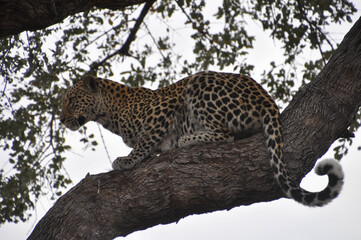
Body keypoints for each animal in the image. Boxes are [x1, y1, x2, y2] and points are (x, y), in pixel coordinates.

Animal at [59, 71, 344, 206]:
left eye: (71, 100)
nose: (61, 120)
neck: (109, 114)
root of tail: (267, 98)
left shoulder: (163, 109)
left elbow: (145, 141)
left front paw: (127, 160)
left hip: (199, 82)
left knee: (225, 134)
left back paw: (185, 140)